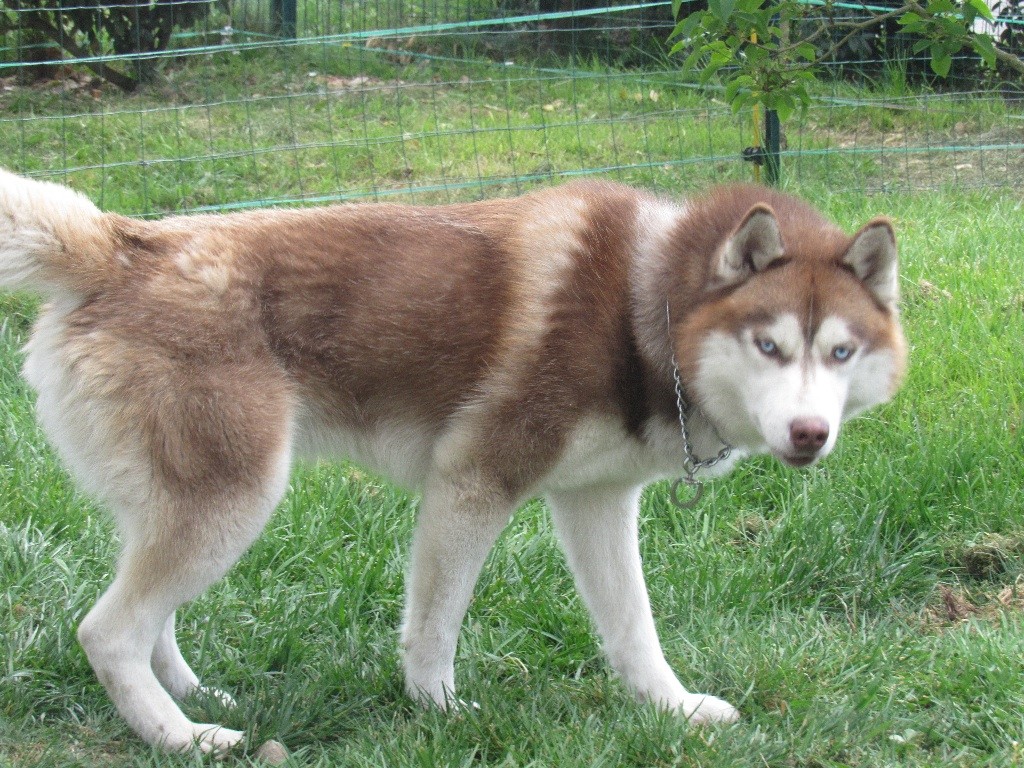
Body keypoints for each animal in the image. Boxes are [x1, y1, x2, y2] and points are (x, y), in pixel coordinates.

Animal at [0, 167, 909, 753]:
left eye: (839, 351)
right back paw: (182, 736)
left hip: (188, 503)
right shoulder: (473, 484)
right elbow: (435, 627)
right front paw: (438, 712)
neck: (643, 305)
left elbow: (632, 627)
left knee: (150, 612)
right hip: (236, 499)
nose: (809, 434)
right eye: (769, 344)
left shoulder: (597, 501)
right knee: (108, 630)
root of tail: (118, 243)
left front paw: (671, 708)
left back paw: (190, 693)